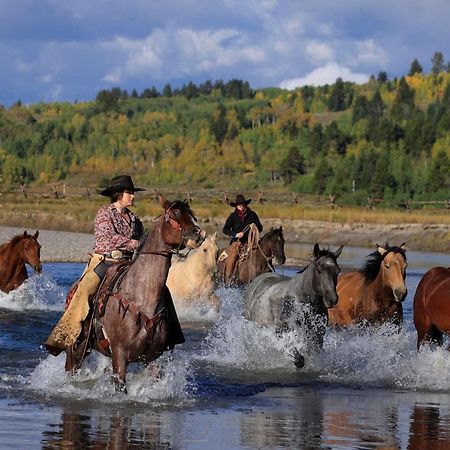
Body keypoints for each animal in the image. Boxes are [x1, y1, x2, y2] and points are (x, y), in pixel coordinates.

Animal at [53, 195, 203, 392]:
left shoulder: (153, 358)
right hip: (74, 348)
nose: (198, 233)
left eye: (191, 214)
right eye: (175, 213)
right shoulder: (119, 354)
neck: (141, 298)